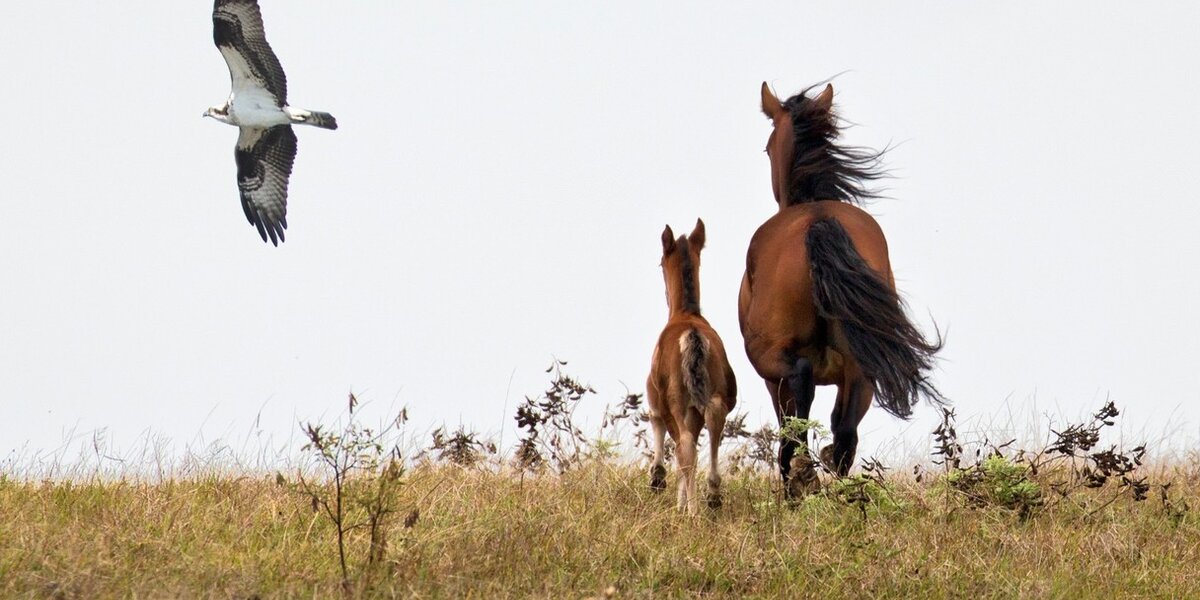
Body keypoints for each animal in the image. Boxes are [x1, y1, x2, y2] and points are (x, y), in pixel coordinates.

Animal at [652, 220, 734, 516]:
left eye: (660, 262)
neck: (685, 314)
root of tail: (691, 334)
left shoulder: (662, 404)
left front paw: (679, 504)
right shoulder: (695, 410)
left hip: (674, 400)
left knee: (685, 447)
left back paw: (694, 512)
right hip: (715, 396)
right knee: (714, 424)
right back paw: (713, 496)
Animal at [739, 82, 945, 494]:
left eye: (767, 147)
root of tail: (819, 221)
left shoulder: (771, 379)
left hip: (774, 358)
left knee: (801, 393)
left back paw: (801, 477)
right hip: (862, 368)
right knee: (845, 432)